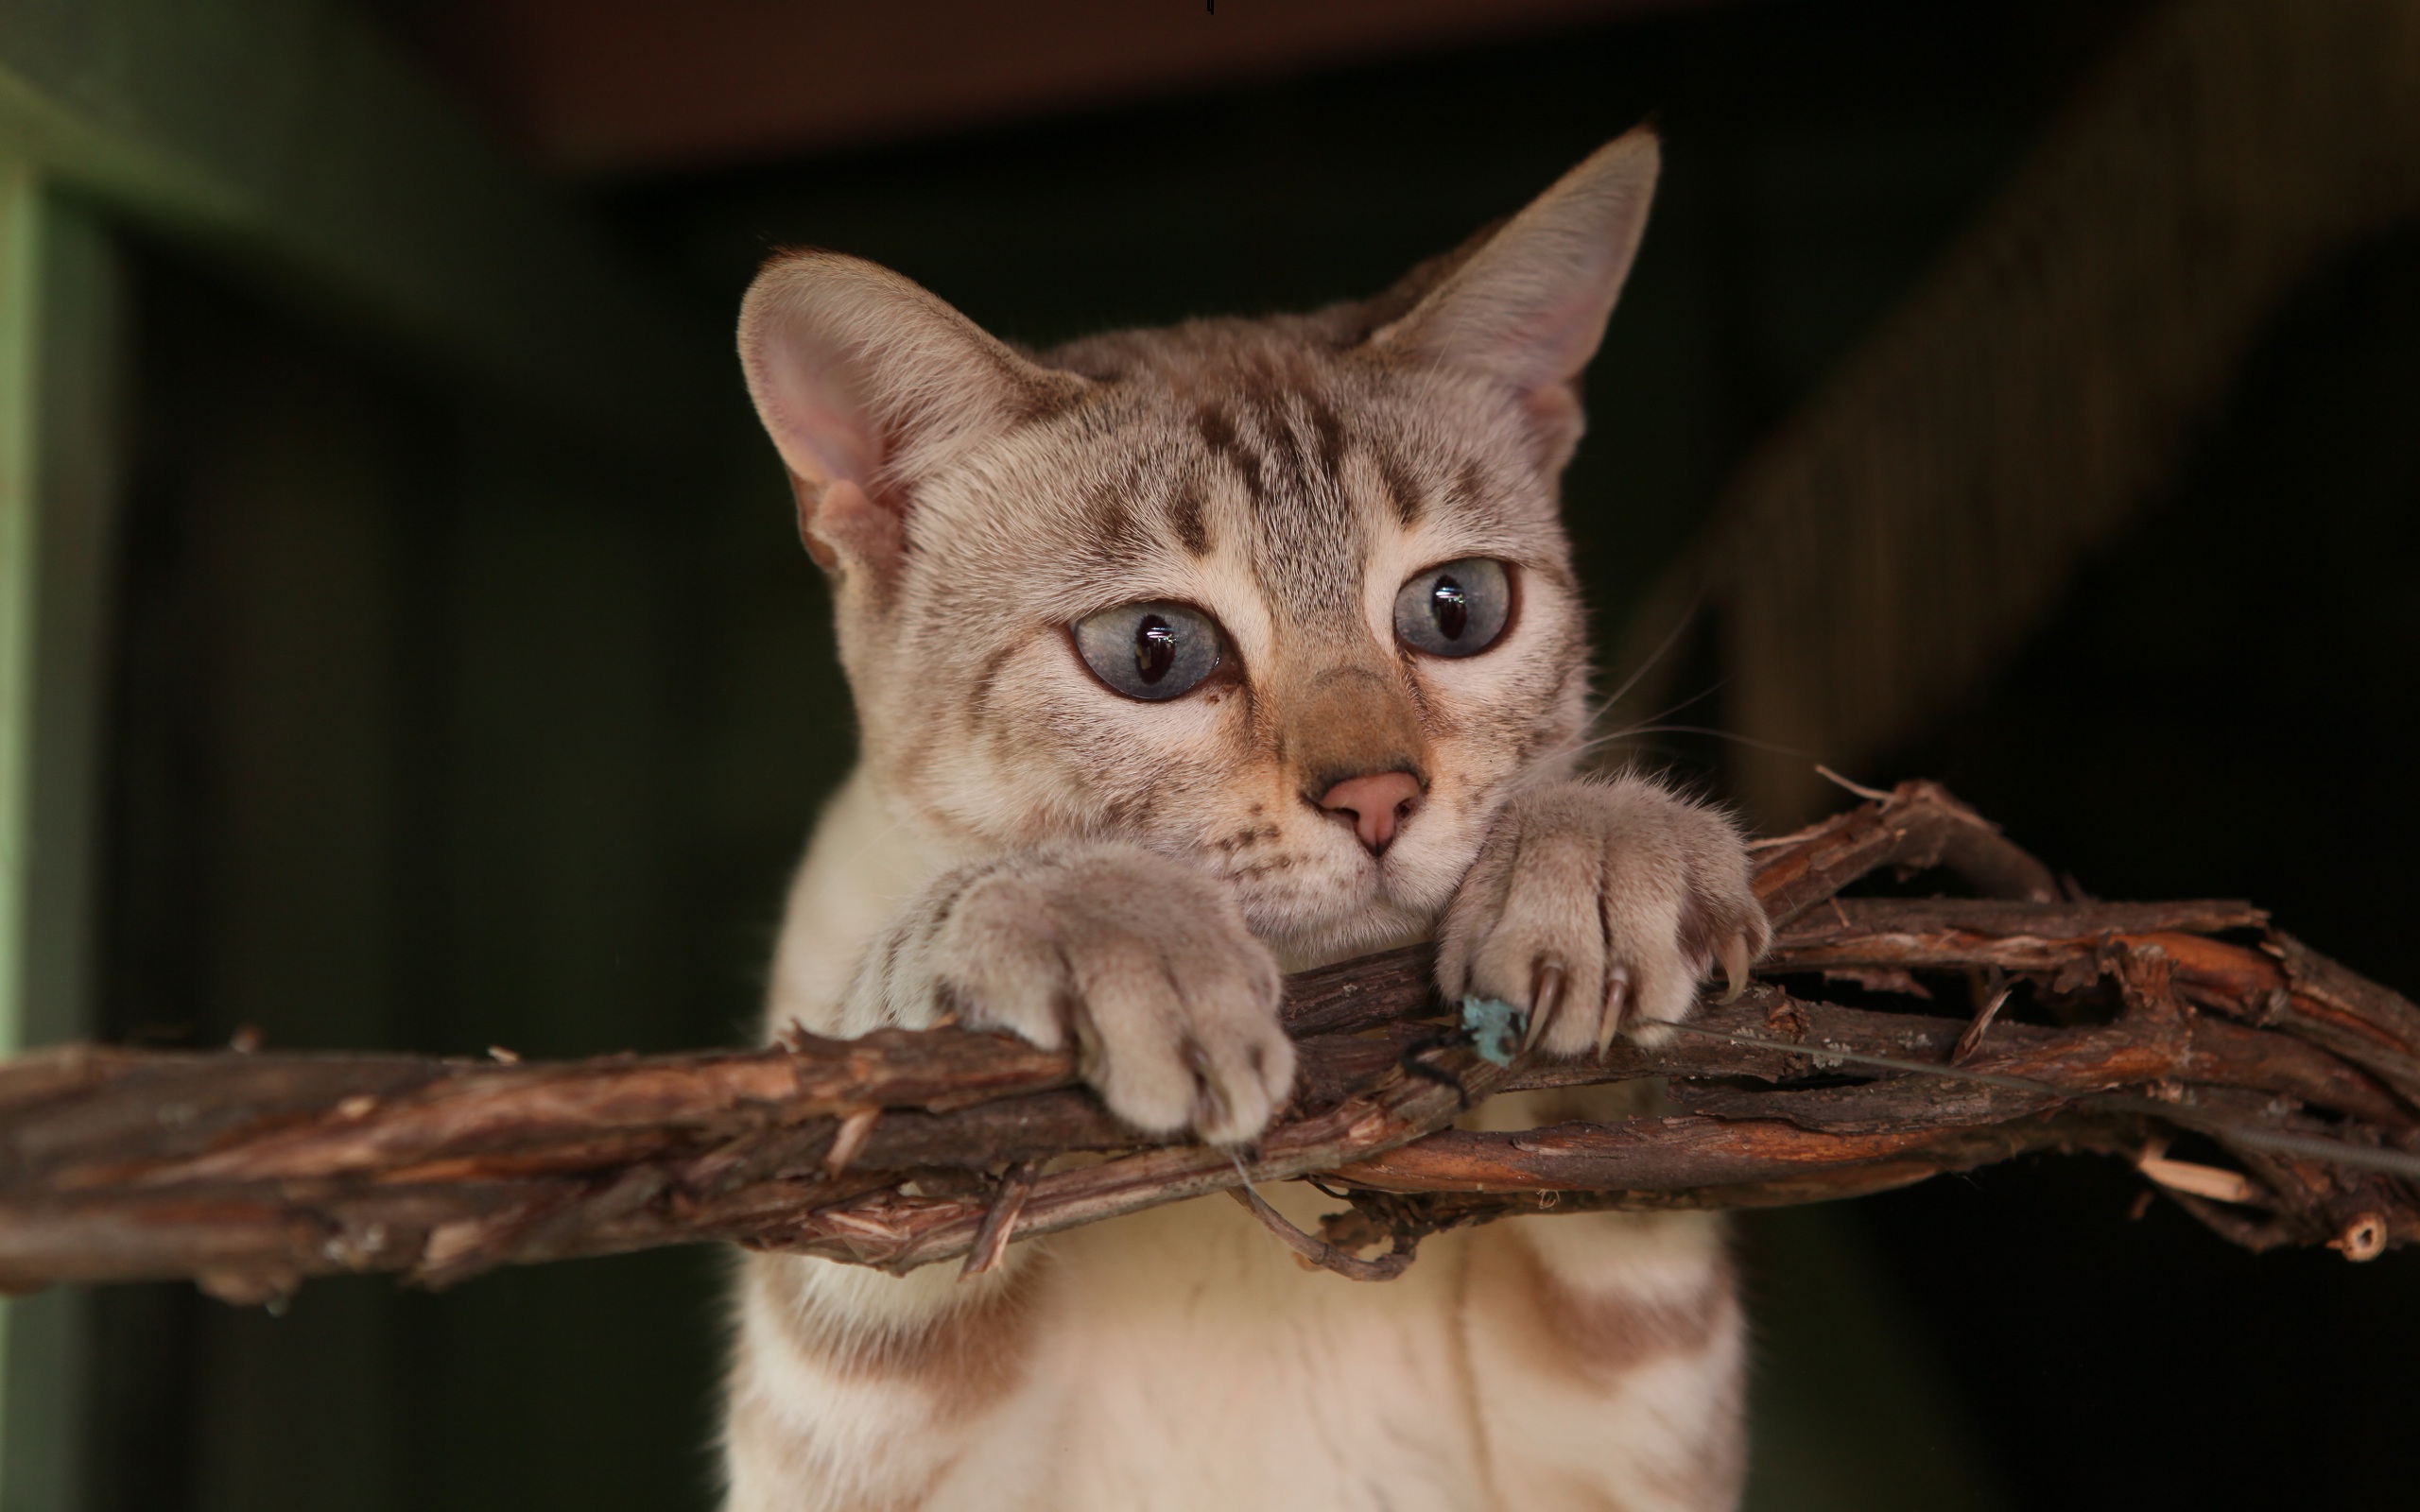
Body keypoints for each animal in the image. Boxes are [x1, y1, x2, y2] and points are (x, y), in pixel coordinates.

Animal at [720, 129, 1781, 1509]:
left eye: (1456, 608)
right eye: (1152, 650)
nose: (1378, 795)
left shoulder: (1628, 1441)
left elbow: (1626, 1182)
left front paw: (1599, 857)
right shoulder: (845, 1407)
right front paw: (1105, 923)